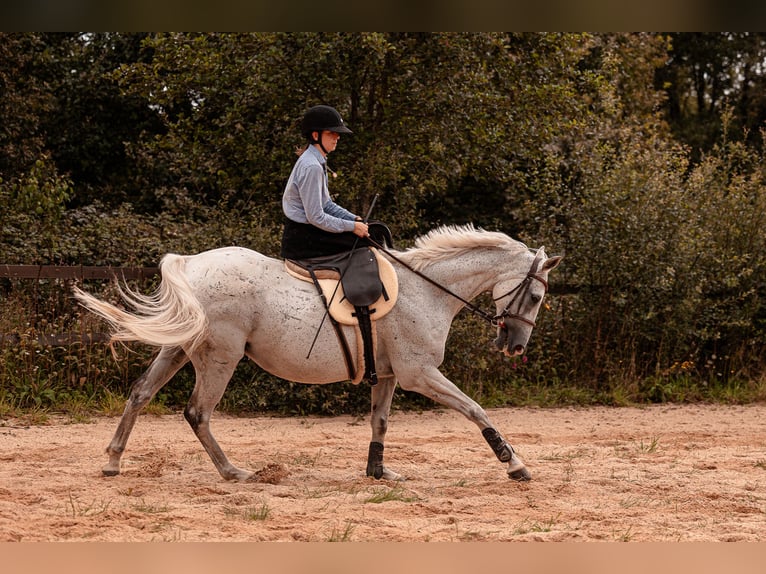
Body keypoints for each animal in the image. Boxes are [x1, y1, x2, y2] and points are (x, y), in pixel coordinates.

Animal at [73, 225, 564, 482]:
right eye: (537, 296)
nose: (514, 347)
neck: (427, 289)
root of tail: (192, 264)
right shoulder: (419, 373)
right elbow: (475, 409)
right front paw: (514, 463)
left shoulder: (389, 376)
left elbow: (380, 421)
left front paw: (377, 472)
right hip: (220, 358)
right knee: (198, 412)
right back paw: (233, 471)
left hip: (178, 348)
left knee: (141, 393)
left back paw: (113, 461)